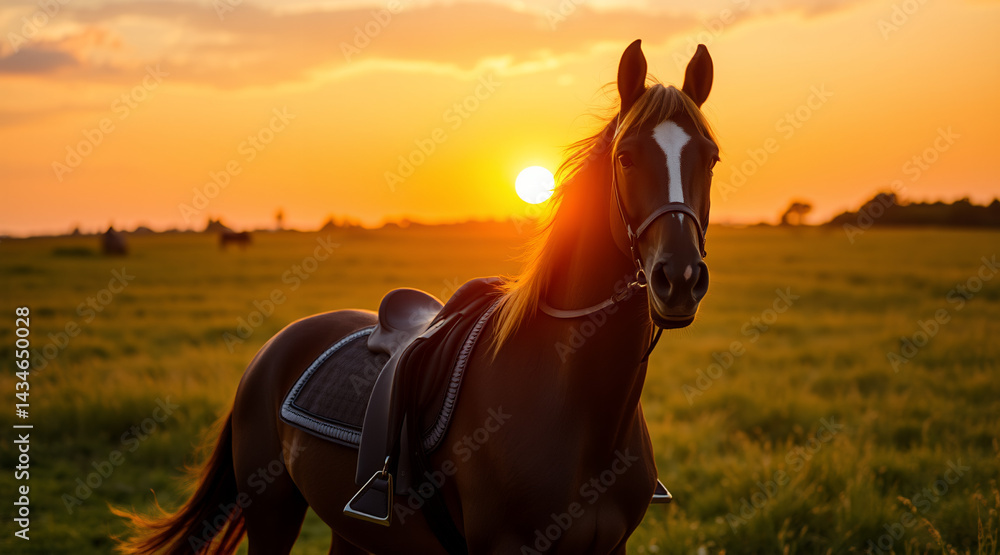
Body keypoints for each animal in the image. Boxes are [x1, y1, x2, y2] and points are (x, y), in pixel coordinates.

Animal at [114, 39, 719, 554]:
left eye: (710, 158)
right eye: (627, 157)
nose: (679, 278)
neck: (576, 405)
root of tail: (276, 346)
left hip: (353, 532)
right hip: (272, 512)